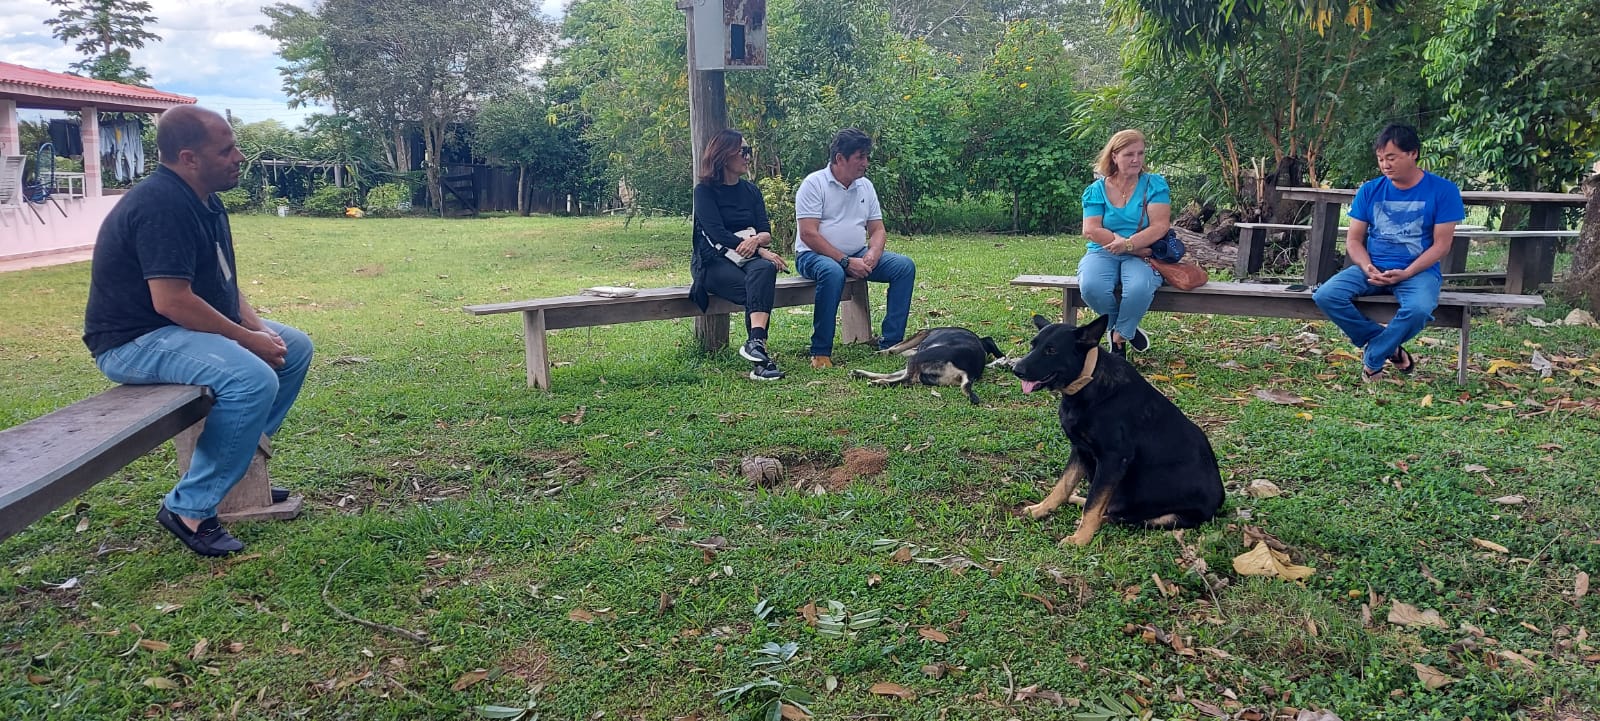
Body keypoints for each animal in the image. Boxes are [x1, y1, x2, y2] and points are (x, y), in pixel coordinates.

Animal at [851, 329, 998, 406]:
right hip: (922, 370)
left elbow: (894, 348)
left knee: (906, 379)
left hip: (917, 358)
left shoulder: (922, 333)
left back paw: (877, 383)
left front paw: (881, 351)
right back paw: (861, 374)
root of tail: (969, 372)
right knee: (896, 376)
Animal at [1011, 313, 1222, 543]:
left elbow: (1093, 504)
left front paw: (1080, 540)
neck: (1089, 381)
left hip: (1167, 517)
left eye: (1051, 350)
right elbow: (1063, 485)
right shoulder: (1080, 450)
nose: (1016, 370)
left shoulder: (1113, 459)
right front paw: (1042, 509)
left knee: (1117, 517)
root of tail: (1220, 506)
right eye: (1033, 345)